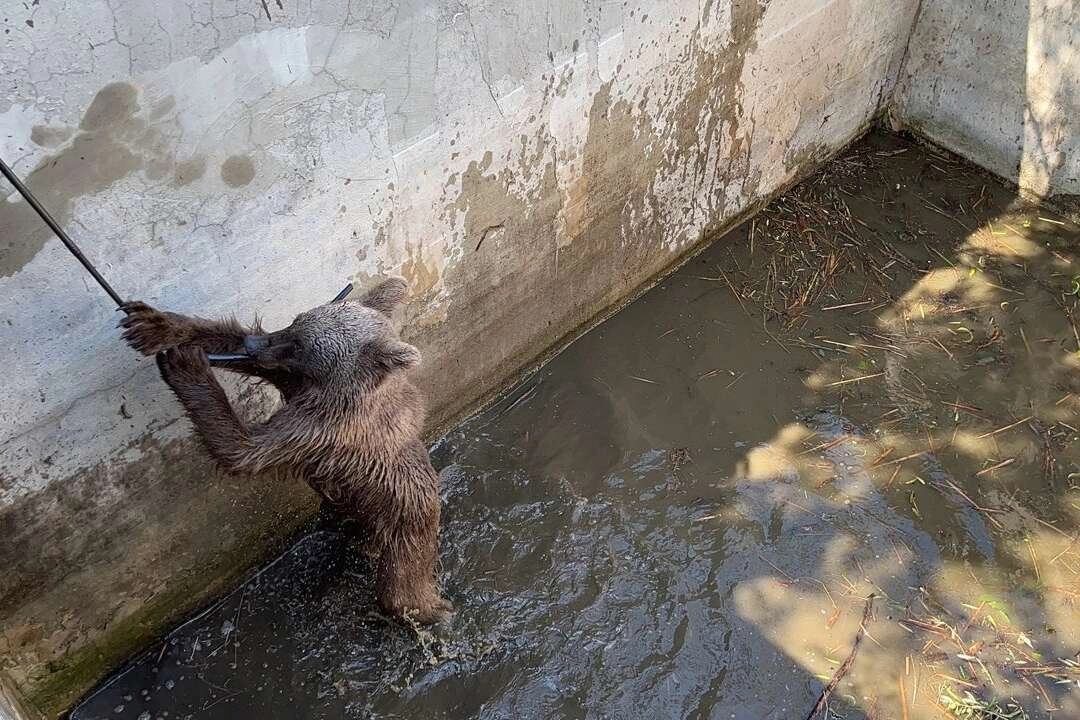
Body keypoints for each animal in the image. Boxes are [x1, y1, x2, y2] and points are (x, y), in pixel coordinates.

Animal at [121, 278, 451, 626]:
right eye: (294, 322)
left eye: (300, 345)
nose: (254, 344)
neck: (329, 386)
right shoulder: (292, 381)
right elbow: (233, 342)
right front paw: (154, 326)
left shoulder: (321, 429)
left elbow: (243, 450)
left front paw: (186, 364)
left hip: (403, 525)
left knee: (401, 591)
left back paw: (433, 611)